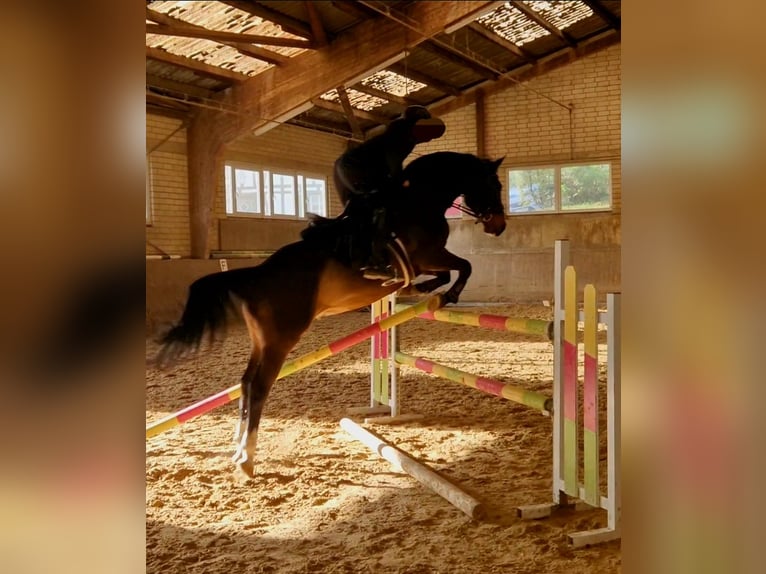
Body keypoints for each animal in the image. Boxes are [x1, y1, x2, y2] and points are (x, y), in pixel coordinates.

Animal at [155, 151, 507, 477]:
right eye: (494, 184)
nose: (499, 226)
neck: (419, 200)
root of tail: (256, 275)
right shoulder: (428, 255)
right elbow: (463, 266)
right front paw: (443, 294)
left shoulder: (427, 260)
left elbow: (448, 271)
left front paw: (419, 290)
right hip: (281, 340)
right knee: (258, 388)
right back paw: (247, 459)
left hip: (262, 340)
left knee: (245, 383)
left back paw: (239, 449)